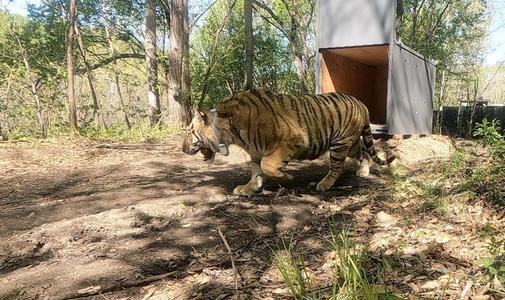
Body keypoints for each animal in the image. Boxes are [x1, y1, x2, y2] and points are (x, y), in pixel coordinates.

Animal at [181, 88, 394, 196]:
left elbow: (268, 166)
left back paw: (323, 184)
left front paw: (287, 177)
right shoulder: (254, 151)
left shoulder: (290, 141)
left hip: (339, 143)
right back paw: (364, 171)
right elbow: (256, 170)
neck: (229, 132)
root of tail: (361, 103)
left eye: (190, 132)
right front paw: (249, 188)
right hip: (350, 143)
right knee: (363, 152)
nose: (183, 149)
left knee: (337, 167)